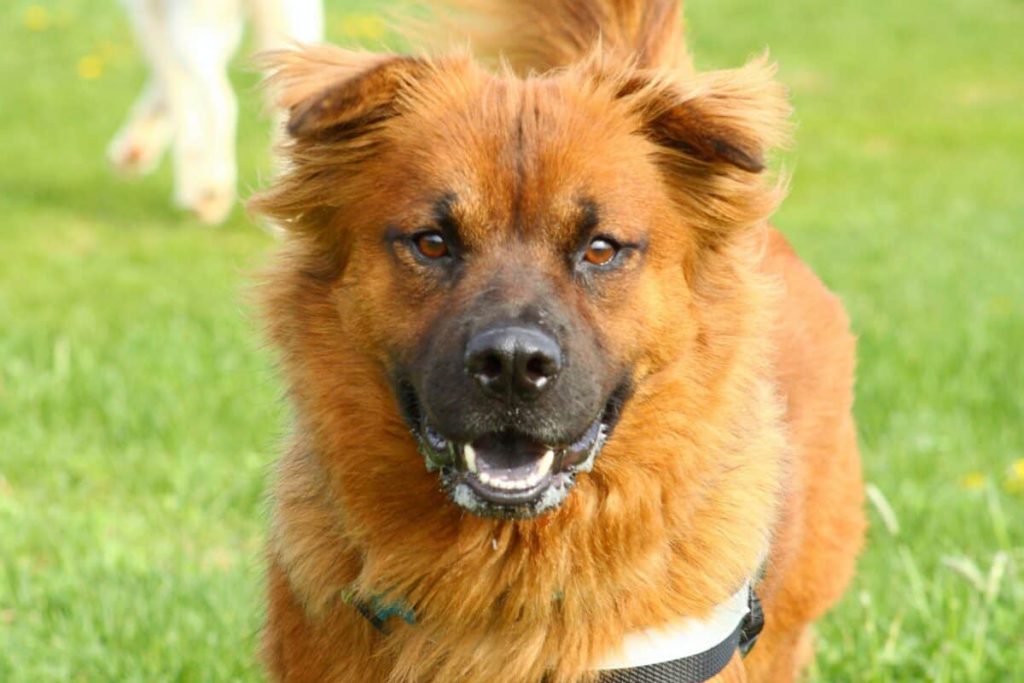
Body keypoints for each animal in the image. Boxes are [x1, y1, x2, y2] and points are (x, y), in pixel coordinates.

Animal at [110, 0, 321, 224]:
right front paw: (133, 150)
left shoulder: (149, 12)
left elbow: (174, 85)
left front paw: (188, 189)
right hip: (292, 21)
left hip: (195, 25)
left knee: (221, 104)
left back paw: (212, 194)